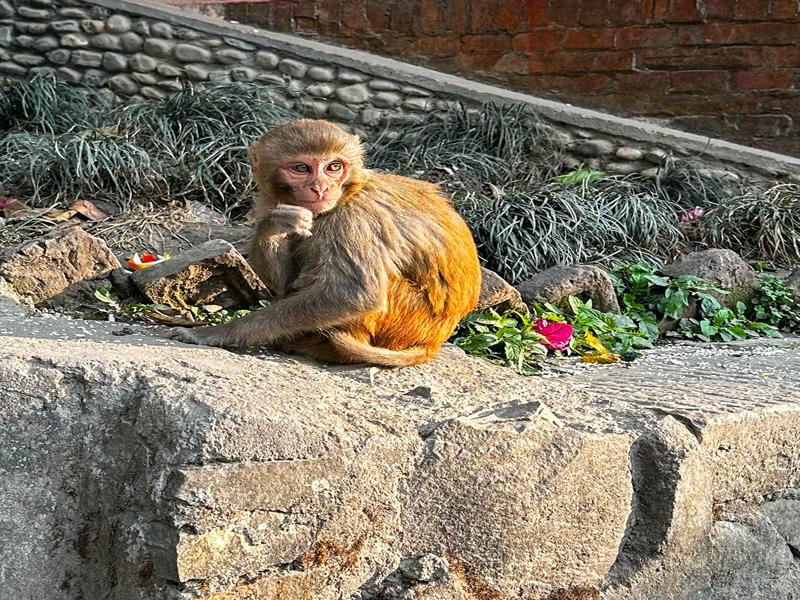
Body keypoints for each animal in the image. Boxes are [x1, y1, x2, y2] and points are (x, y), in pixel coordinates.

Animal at [167, 119, 481, 367]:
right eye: (301, 168)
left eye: (334, 167)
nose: (321, 188)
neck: (346, 194)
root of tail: (435, 341)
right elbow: (285, 278)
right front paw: (273, 226)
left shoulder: (353, 219)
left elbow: (354, 294)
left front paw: (215, 334)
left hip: (407, 320)